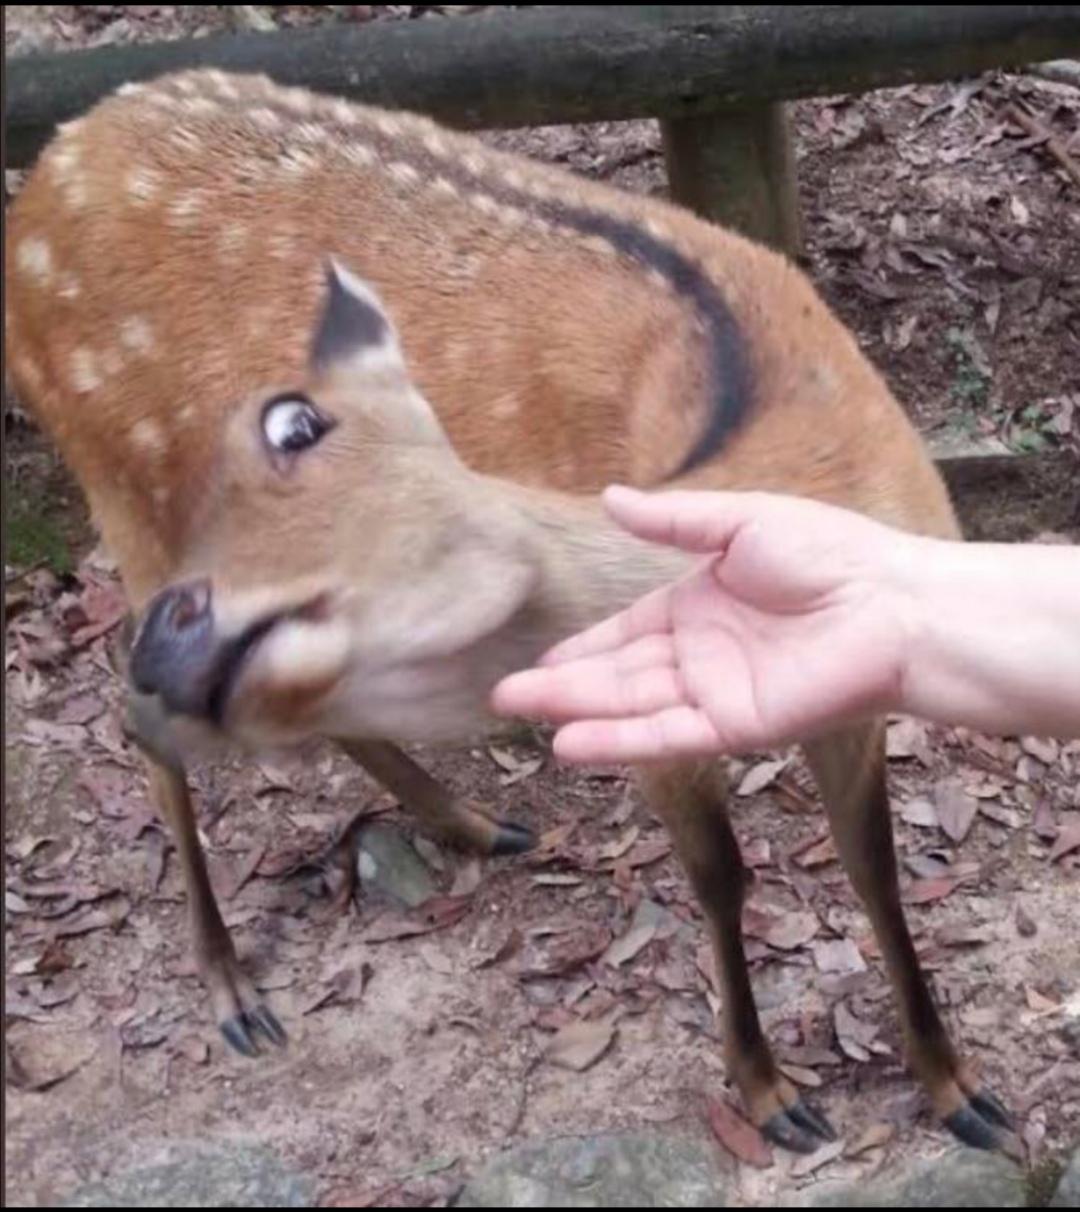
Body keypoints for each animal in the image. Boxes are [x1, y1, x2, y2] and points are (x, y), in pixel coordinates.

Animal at [5, 67, 1018, 1156]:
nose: (181, 643)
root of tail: (50, 170)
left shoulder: (854, 696)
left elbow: (875, 866)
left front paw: (962, 1090)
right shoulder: (645, 714)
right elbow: (723, 876)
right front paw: (770, 1094)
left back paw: (473, 823)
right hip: (121, 488)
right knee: (139, 724)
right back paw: (234, 987)